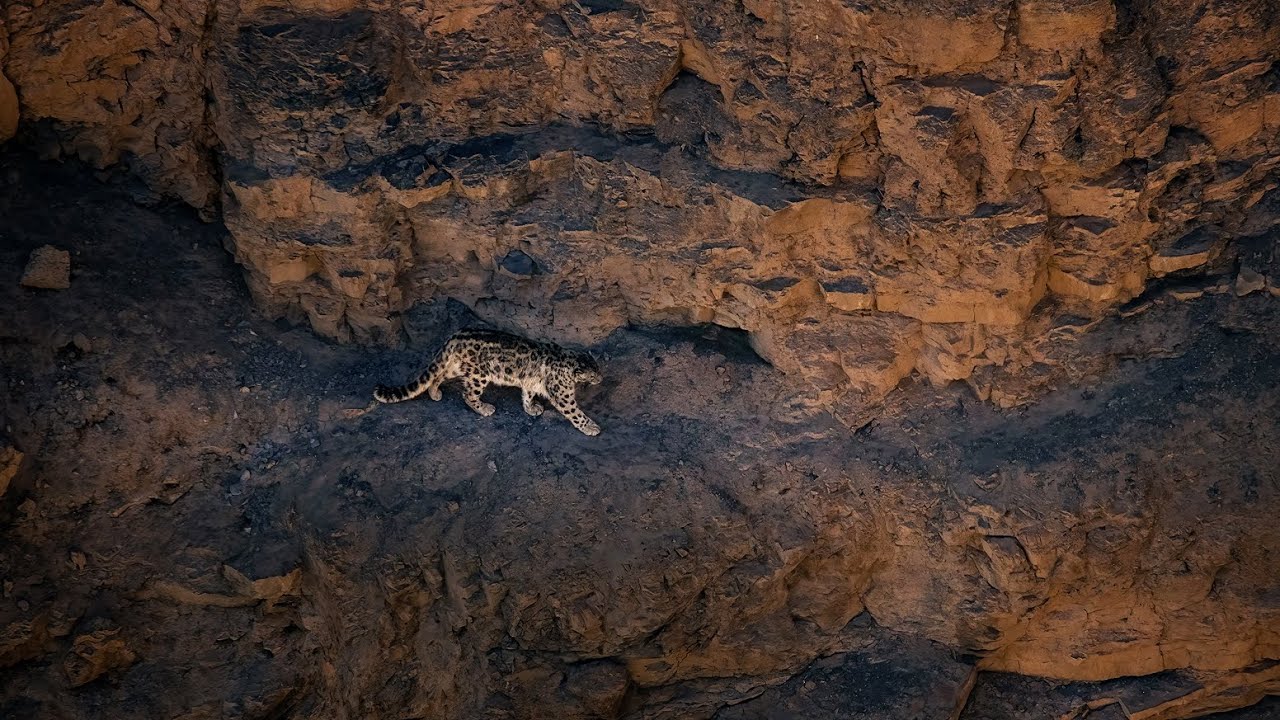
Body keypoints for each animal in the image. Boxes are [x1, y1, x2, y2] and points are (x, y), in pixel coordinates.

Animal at [374, 328, 604, 435]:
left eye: (599, 368)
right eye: (593, 374)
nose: (601, 378)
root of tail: (455, 336)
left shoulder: (530, 383)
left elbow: (527, 394)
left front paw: (531, 408)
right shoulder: (563, 394)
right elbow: (575, 412)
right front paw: (591, 427)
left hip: (456, 366)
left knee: (437, 375)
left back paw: (435, 393)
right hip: (479, 375)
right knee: (468, 394)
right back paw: (484, 408)